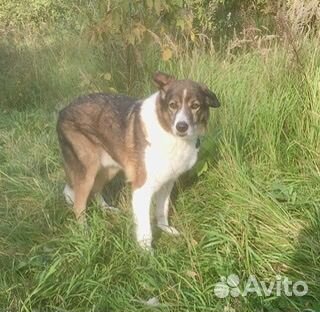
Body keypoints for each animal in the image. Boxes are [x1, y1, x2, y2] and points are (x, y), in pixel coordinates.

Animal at [57, 72, 220, 250]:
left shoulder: (167, 183)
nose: (181, 127)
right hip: (88, 171)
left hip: (108, 168)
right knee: (79, 205)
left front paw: (165, 229)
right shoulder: (142, 189)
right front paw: (147, 253)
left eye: (195, 106)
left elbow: (162, 210)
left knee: (95, 190)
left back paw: (107, 209)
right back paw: (85, 233)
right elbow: (145, 229)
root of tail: (63, 110)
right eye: (173, 105)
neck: (168, 132)